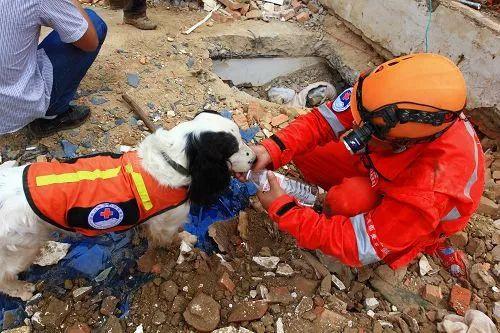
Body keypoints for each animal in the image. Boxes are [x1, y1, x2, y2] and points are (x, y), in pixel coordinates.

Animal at [0, 111, 256, 298]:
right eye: (233, 148)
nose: (254, 158)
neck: (171, 160)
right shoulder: (166, 223)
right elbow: (171, 236)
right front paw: (185, 238)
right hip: (21, 249)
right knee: (4, 277)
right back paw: (21, 290)